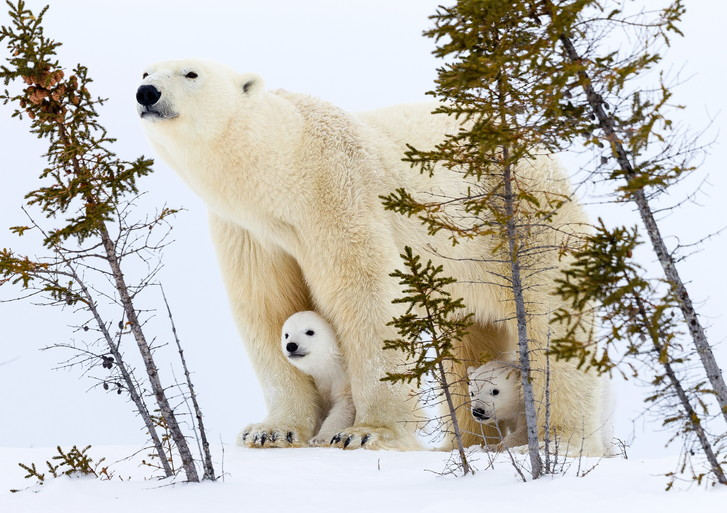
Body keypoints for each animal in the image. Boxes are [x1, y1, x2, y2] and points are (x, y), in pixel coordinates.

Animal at [282, 310, 356, 446]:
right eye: (286, 335)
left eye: (310, 331)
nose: (291, 346)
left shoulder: (342, 378)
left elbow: (344, 405)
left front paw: (319, 439)